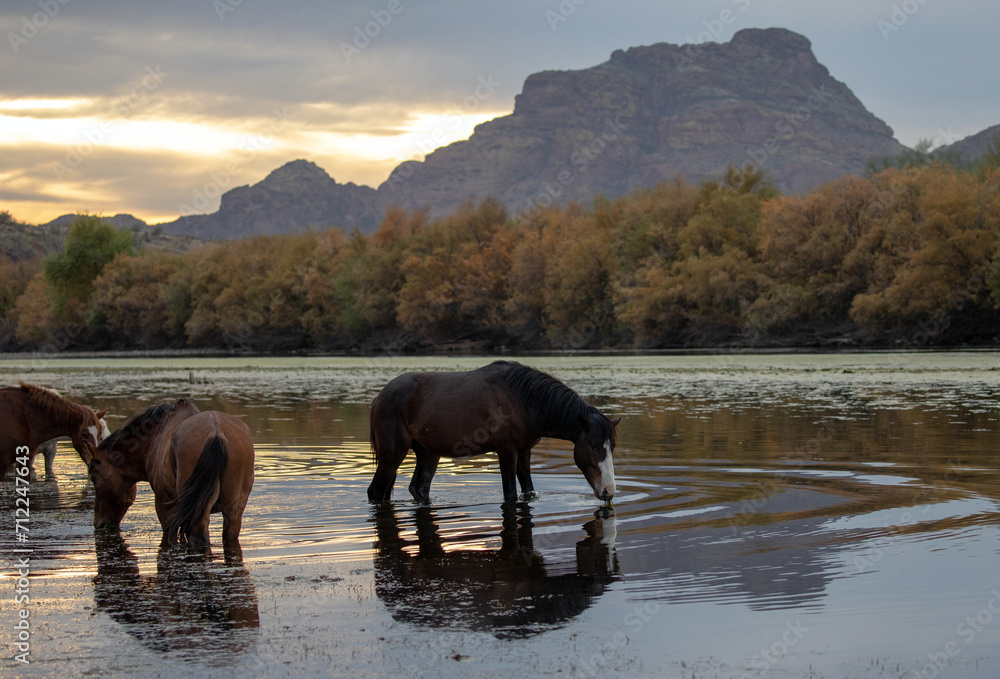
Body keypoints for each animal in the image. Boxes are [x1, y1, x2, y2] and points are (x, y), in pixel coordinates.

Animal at [87, 399, 255, 552]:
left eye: (94, 478)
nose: (99, 524)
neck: (156, 435)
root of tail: (216, 433)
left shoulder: (164, 507)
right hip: (234, 509)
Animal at [367, 360, 620, 505]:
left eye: (612, 448)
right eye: (593, 446)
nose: (608, 491)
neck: (524, 399)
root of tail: (380, 396)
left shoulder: (524, 452)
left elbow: (528, 492)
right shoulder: (507, 452)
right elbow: (510, 496)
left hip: (429, 453)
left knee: (419, 489)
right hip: (392, 456)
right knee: (376, 492)